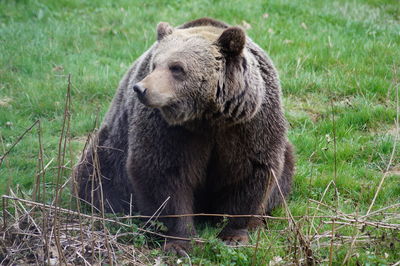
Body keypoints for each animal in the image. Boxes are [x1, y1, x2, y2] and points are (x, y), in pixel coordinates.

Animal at [74, 17, 294, 255]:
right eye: (155, 64)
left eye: (176, 67)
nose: (141, 89)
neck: (207, 117)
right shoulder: (169, 129)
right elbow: (164, 175)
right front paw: (179, 242)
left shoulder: (248, 124)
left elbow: (250, 170)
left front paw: (233, 234)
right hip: (110, 149)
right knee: (96, 178)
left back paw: (257, 221)